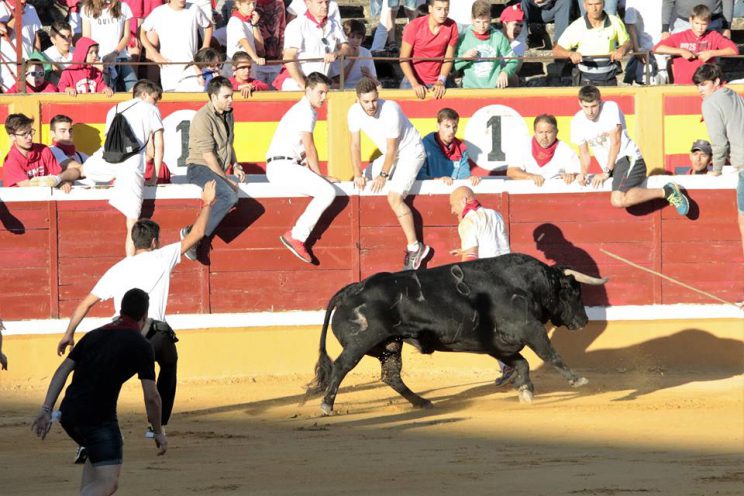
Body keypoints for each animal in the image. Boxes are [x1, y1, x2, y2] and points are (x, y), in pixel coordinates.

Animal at [306, 252, 608, 414]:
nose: (583, 320)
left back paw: (423, 402)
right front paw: (578, 380)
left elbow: (521, 363)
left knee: (390, 375)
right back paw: (327, 405)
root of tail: (353, 288)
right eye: (574, 292)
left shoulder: (499, 345)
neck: (527, 285)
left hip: (390, 345)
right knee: (342, 366)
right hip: (362, 341)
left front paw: (525, 392)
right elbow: (550, 355)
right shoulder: (530, 329)